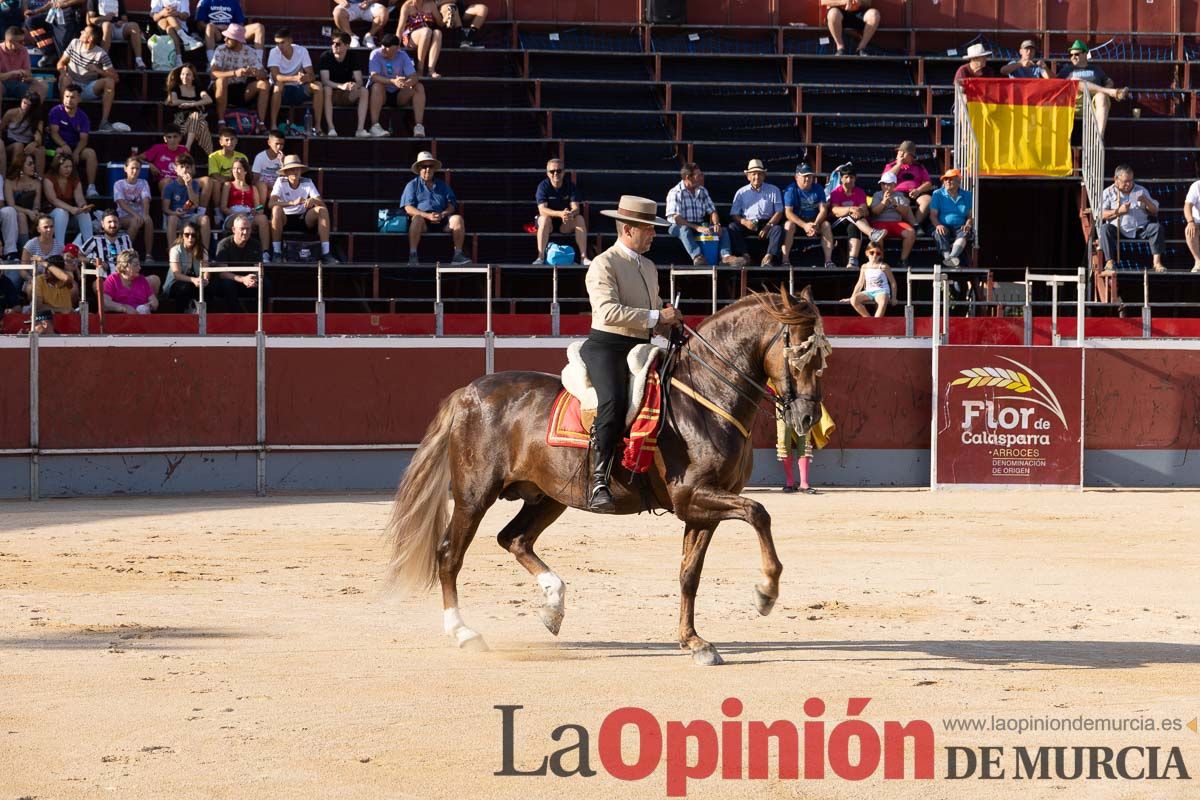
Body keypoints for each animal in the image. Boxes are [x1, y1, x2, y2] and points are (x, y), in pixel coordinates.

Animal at [381, 287, 825, 662]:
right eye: (800, 354)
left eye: (823, 359)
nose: (807, 418)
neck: (704, 396)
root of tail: (469, 392)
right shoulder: (694, 496)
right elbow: (758, 512)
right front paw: (766, 592)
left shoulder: (703, 508)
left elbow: (690, 574)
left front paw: (694, 641)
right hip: (475, 496)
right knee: (450, 555)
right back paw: (464, 632)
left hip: (548, 497)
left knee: (515, 539)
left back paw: (554, 605)